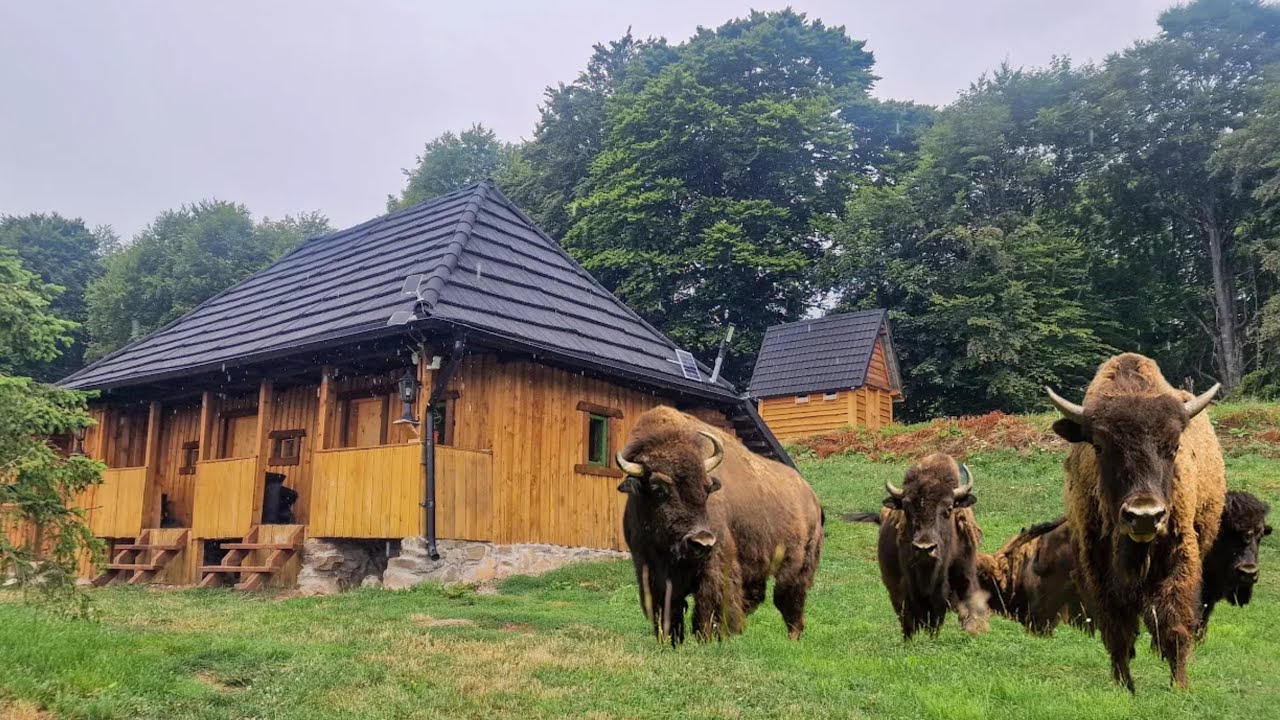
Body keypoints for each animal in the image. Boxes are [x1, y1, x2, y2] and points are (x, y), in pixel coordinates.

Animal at [617, 406, 824, 643]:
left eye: (707, 488)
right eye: (658, 489)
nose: (701, 541)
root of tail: (812, 497)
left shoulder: (715, 564)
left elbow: (709, 605)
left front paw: (710, 639)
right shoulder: (650, 570)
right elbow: (668, 610)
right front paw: (669, 641)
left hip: (796, 567)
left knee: (789, 600)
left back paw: (792, 639)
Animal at [1048, 352, 1225, 690]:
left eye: (1174, 446)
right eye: (1099, 446)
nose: (1144, 516)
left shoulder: (1180, 555)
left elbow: (1174, 623)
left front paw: (1179, 687)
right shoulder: (1098, 567)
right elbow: (1117, 630)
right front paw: (1124, 686)